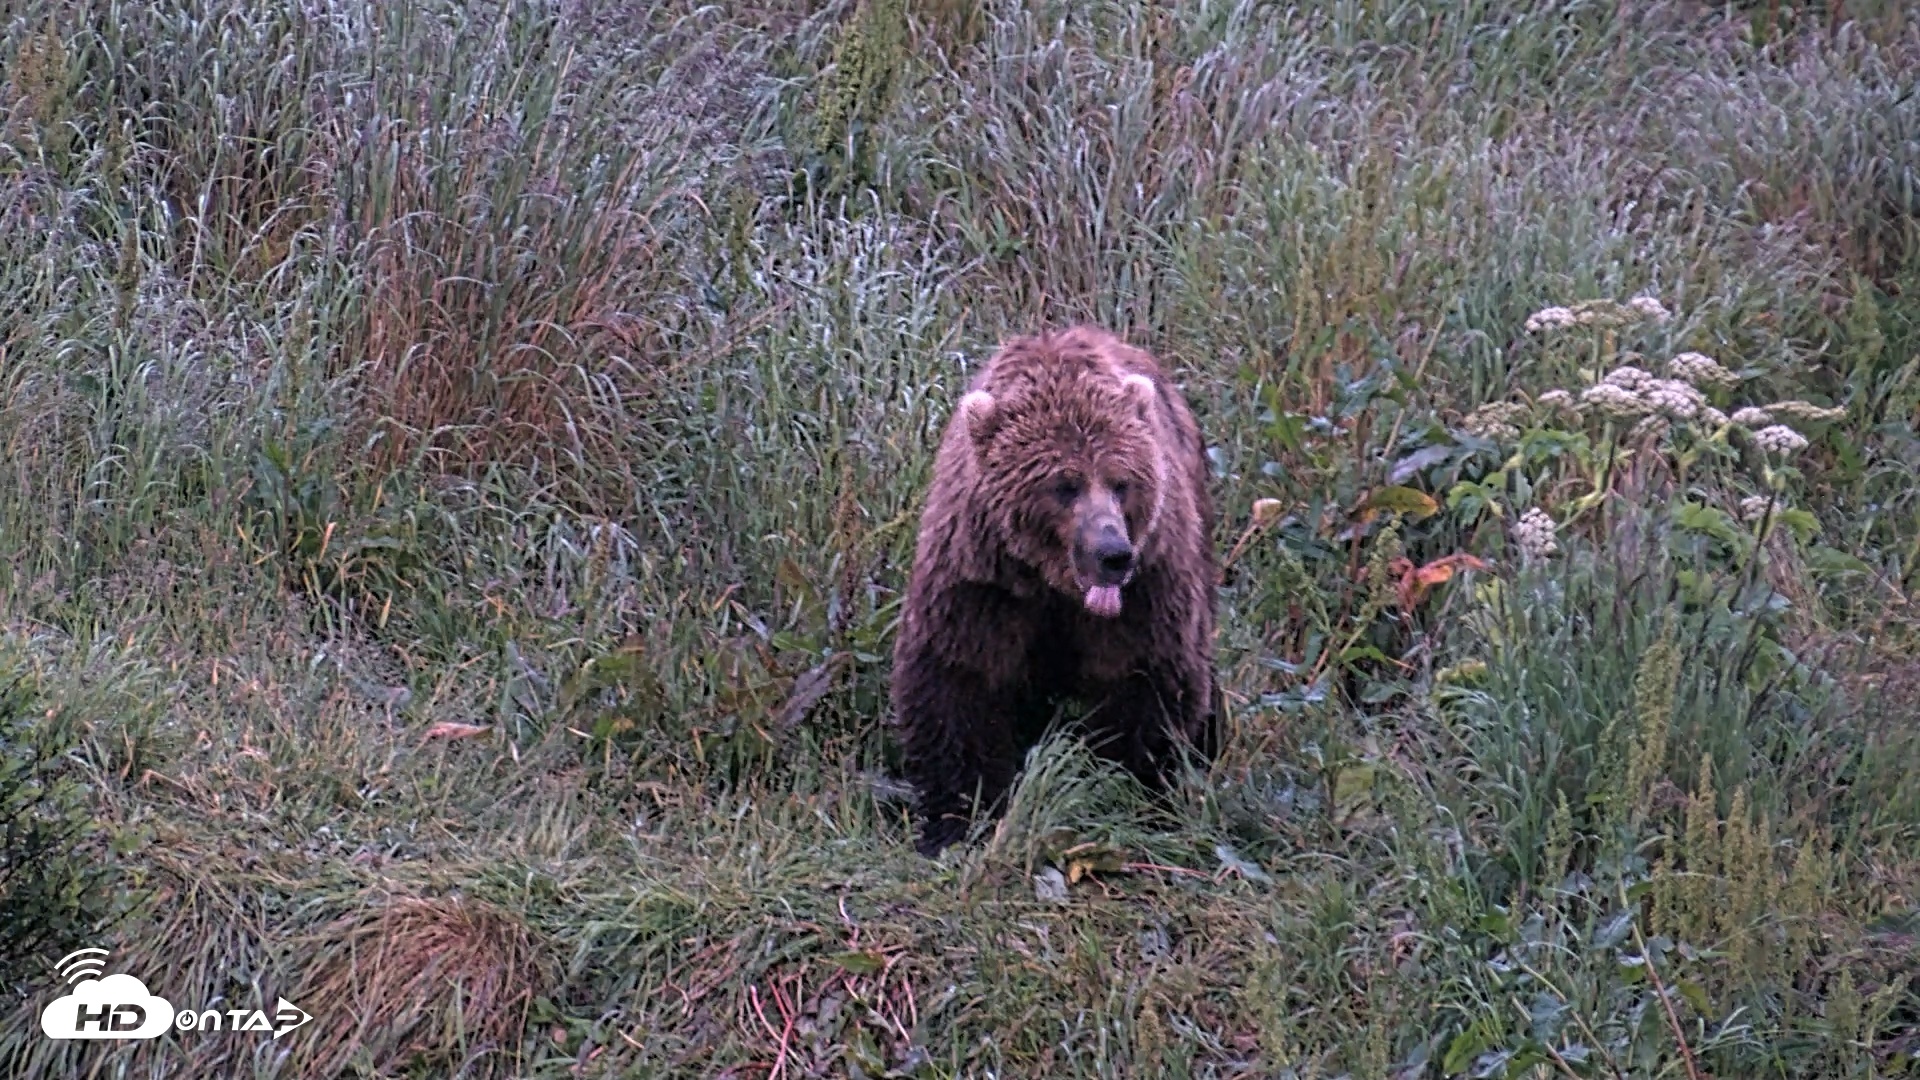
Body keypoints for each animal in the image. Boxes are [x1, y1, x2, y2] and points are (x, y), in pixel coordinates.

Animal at [889, 324, 1221, 856]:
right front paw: (958, 819)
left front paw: (1131, 790)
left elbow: (1147, 679)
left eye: (1122, 482)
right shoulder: (981, 583)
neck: (1053, 586)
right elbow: (957, 679)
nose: (1113, 553)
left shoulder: (1149, 585)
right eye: (1064, 485)